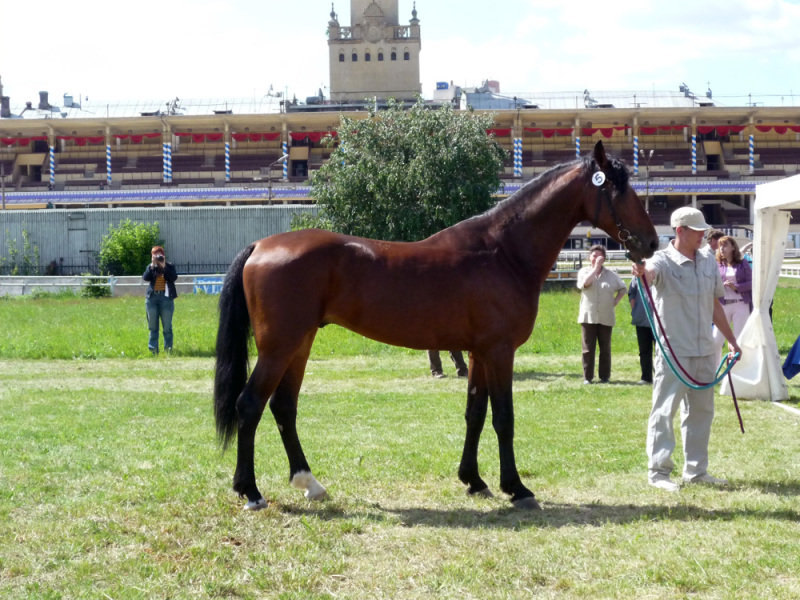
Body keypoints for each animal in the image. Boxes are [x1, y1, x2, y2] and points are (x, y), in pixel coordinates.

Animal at [214, 142, 656, 510]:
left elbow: (475, 412)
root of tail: (261, 246)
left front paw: (474, 481)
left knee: (283, 407)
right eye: (619, 189)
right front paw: (516, 488)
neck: (502, 251)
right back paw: (250, 491)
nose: (651, 242)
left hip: (299, 343)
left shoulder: (479, 352)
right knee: (249, 404)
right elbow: (504, 418)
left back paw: (310, 483)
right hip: (278, 347)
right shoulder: (500, 351)